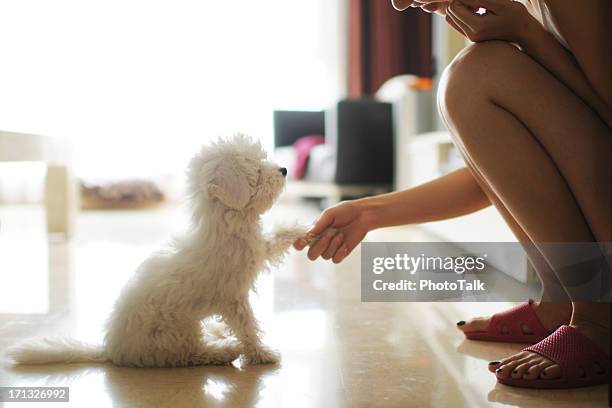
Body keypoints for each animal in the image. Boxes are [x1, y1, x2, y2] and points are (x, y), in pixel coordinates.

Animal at [7, 134, 308, 366]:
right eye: (257, 170)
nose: (283, 170)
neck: (228, 224)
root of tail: (111, 350)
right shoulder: (232, 297)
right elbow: (247, 327)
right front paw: (261, 353)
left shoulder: (258, 249)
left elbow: (274, 241)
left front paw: (301, 231)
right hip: (174, 332)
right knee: (191, 354)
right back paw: (223, 349)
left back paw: (216, 332)